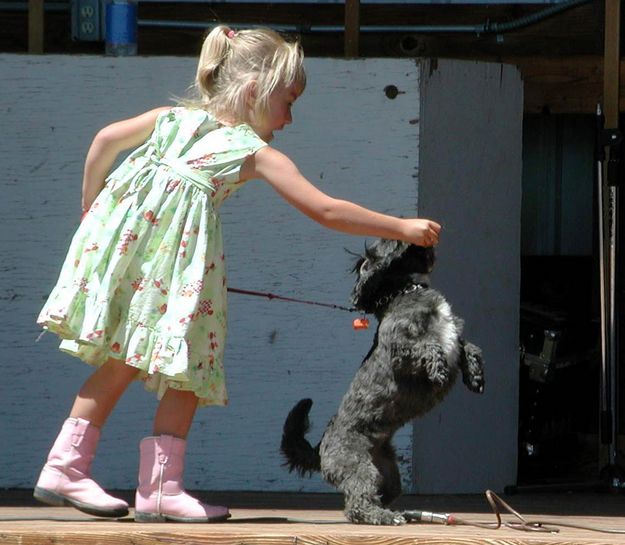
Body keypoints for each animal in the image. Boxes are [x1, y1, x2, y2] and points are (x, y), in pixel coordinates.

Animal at [280, 238, 486, 524]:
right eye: (391, 241)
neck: (404, 291)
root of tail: (320, 447)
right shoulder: (402, 349)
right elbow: (427, 347)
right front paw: (439, 369)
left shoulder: (454, 334)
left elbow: (470, 346)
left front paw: (475, 374)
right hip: (358, 466)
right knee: (356, 504)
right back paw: (386, 517)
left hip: (389, 475)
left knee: (376, 496)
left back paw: (392, 513)